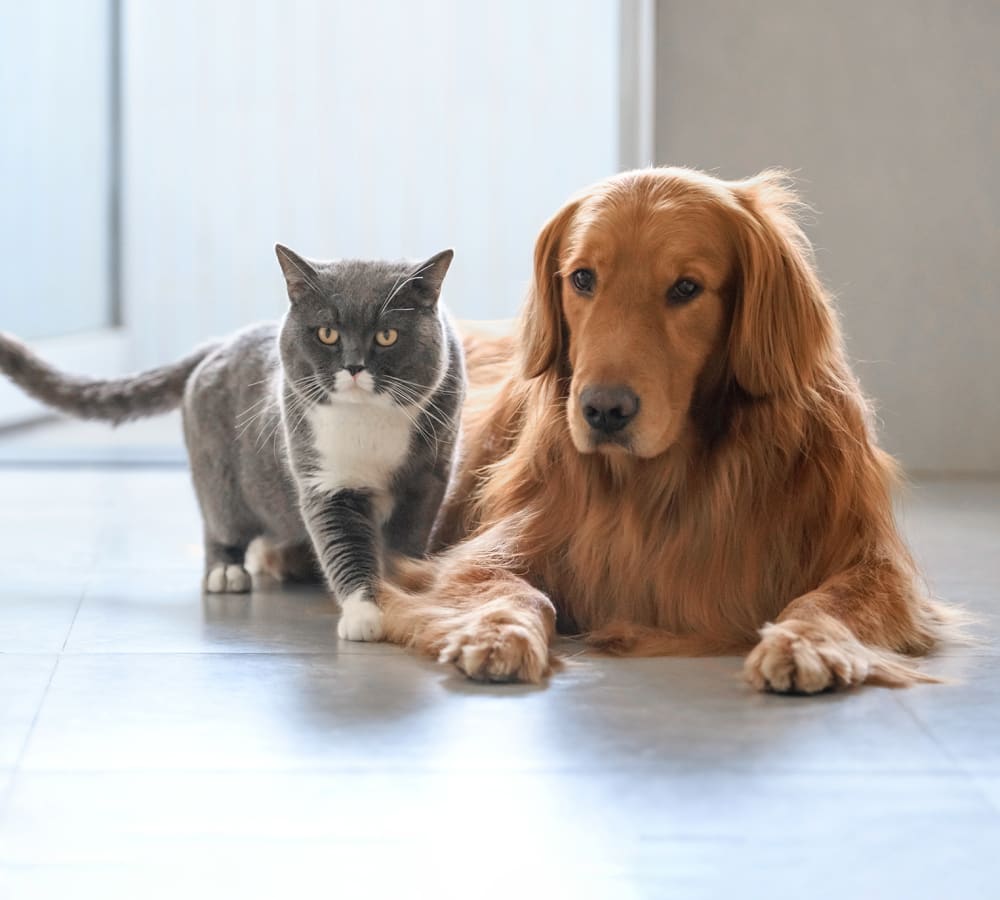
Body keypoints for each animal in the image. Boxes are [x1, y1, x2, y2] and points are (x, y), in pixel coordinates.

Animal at [0, 246, 466, 640]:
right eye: (327, 333)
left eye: (387, 336)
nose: (354, 367)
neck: (368, 420)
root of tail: (219, 342)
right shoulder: (323, 480)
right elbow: (342, 544)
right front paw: (364, 614)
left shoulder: (428, 479)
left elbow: (406, 540)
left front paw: (401, 589)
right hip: (216, 471)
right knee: (218, 520)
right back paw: (225, 571)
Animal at [378, 165, 956, 692]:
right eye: (582, 278)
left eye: (685, 288)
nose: (604, 411)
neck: (663, 482)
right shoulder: (481, 554)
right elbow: (514, 589)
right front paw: (498, 632)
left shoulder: (875, 565)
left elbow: (829, 600)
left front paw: (805, 642)